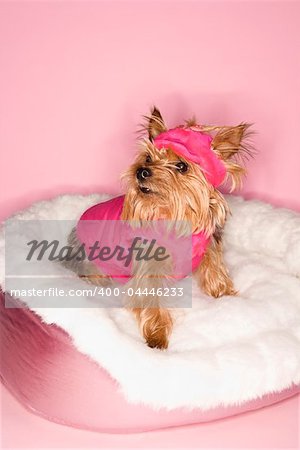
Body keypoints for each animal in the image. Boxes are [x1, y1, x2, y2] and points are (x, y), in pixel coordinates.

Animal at [65, 107, 253, 350]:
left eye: (181, 166)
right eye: (147, 157)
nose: (141, 171)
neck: (174, 214)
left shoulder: (208, 243)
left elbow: (214, 267)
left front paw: (225, 293)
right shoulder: (148, 264)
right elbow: (149, 297)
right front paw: (157, 336)